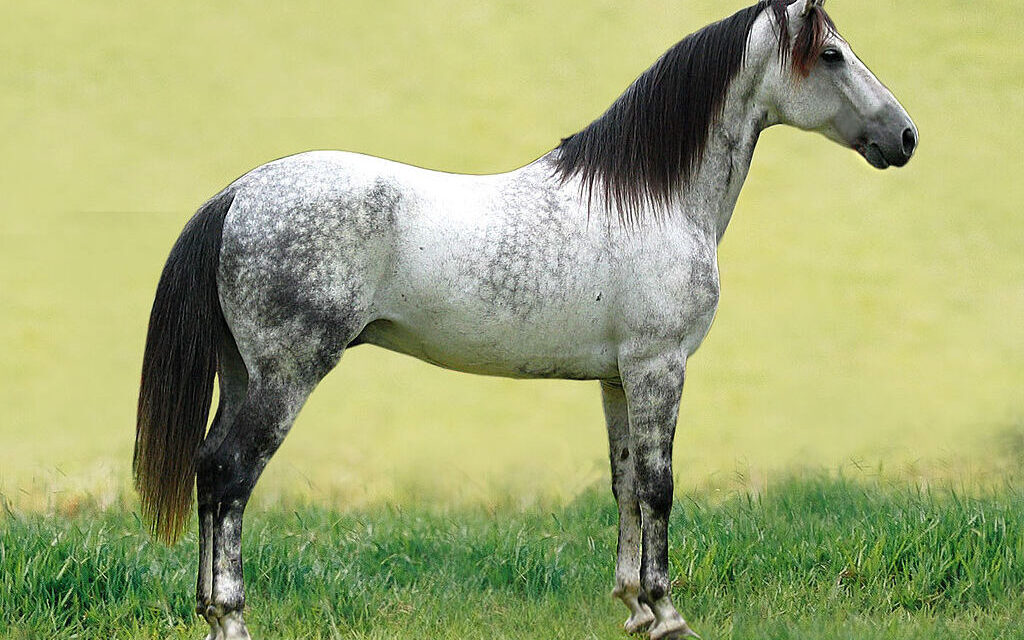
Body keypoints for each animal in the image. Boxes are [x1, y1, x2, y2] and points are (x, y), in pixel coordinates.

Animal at [134, 1, 917, 638]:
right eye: (832, 54)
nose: (906, 137)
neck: (654, 199)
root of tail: (238, 194)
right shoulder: (658, 367)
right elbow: (661, 488)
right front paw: (668, 613)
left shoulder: (617, 378)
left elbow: (626, 486)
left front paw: (634, 607)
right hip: (286, 376)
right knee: (231, 475)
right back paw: (231, 617)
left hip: (243, 373)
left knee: (208, 469)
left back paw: (209, 612)